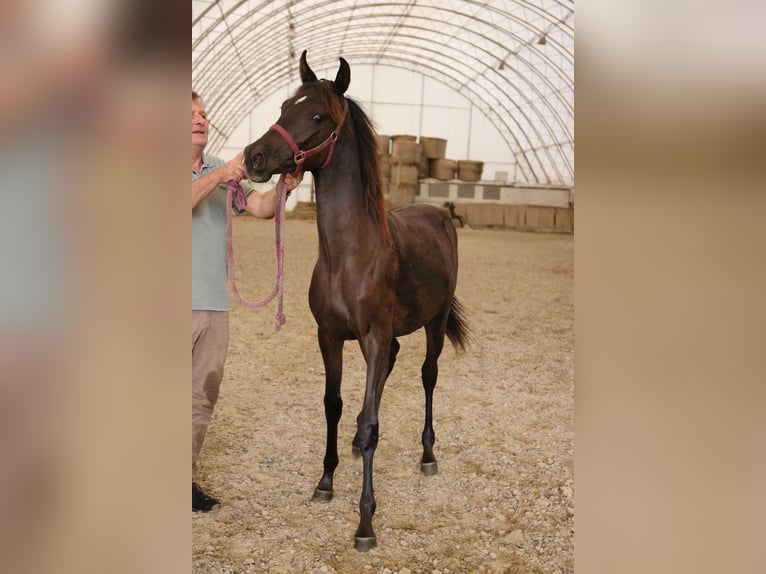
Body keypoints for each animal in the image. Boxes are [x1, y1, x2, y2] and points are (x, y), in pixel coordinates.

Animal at [243, 51, 472, 552]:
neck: (350, 255)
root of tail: (439, 215)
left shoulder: (372, 337)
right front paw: (326, 481)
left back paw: (428, 454)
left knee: (427, 376)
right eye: (284, 105)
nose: (253, 157)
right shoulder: (330, 336)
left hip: (433, 323)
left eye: (317, 116)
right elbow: (334, 404)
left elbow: (371, 426)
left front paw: (365, 522)